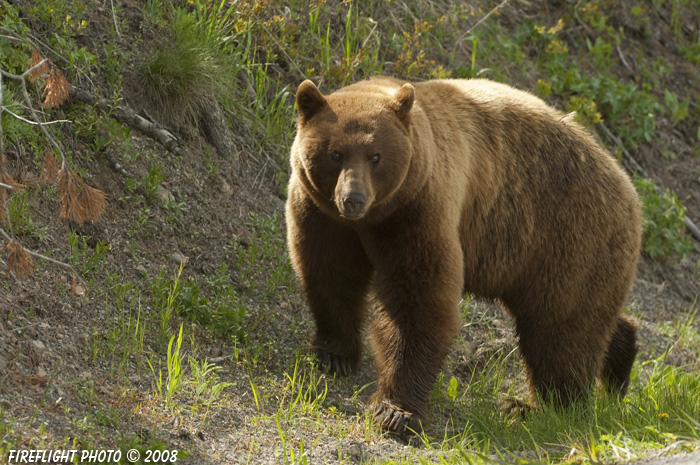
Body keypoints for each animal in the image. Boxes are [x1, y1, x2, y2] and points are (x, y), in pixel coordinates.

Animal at [284, 77, 640, 436]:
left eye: (376, 156)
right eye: (335, 153)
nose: (353, 198)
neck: (373, 219)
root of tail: (629, 186)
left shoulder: (418, 210)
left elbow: (418, 300)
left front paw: (396, 411)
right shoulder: (322, 214)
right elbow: (331, 272)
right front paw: (334, 354)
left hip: (567, 236)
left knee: (559, 329)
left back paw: (543, 407)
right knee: (585, 319)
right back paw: (619, 363)